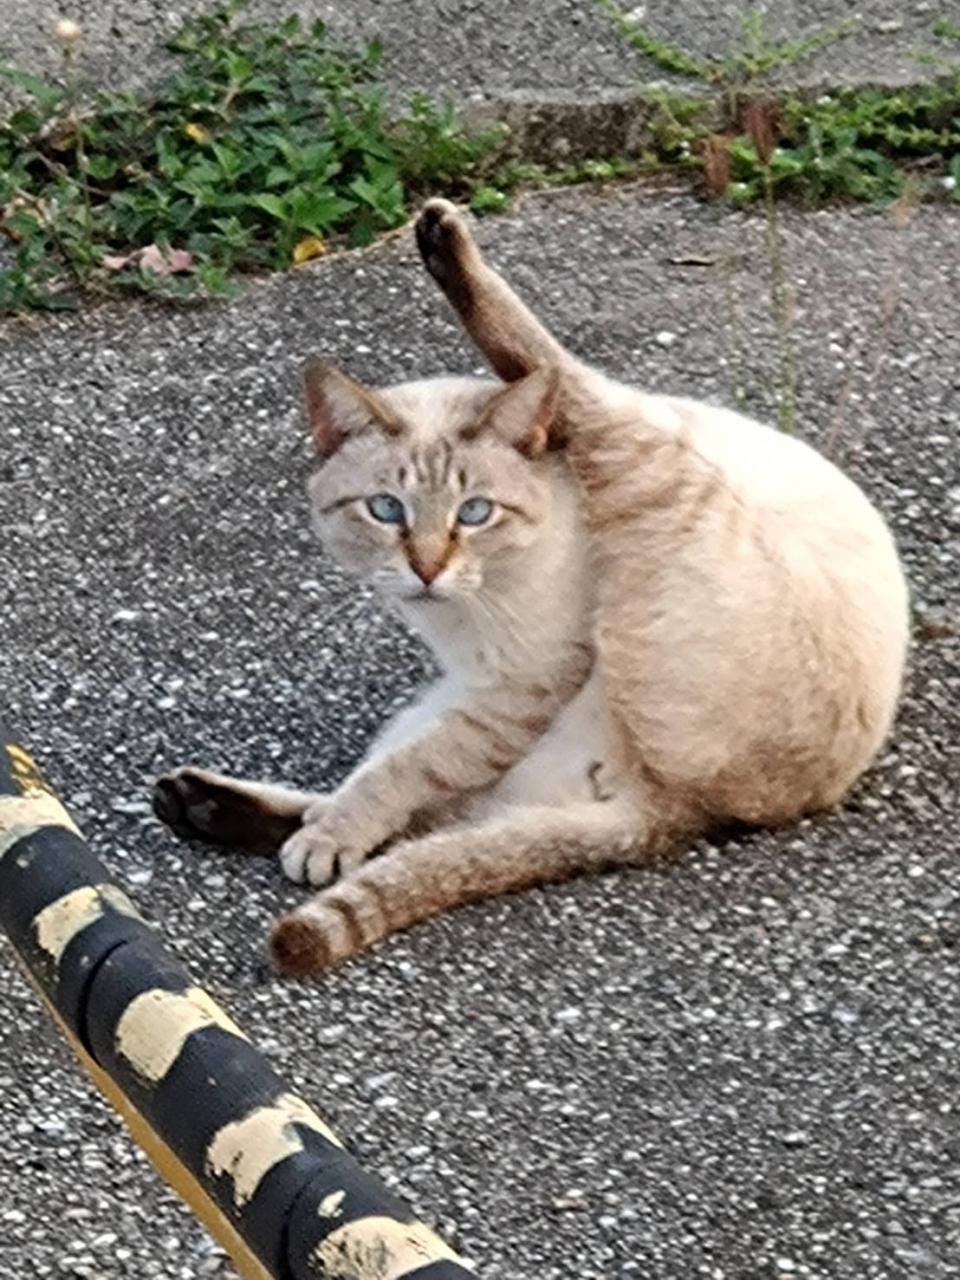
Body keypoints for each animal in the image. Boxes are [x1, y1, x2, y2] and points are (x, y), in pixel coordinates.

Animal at [153, 198, 909, 979]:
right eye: (386, 511)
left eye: (474, 513)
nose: (426, 569)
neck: (462, 618)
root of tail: (685, 814)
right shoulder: (477, 687)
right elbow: (406, 782)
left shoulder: (525, 682)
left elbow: (407, 774)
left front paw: (330, 840)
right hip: (443, 703)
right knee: (439, 823)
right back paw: (199, 805)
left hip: (646, 455)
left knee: (559, 372)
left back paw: (444, 240)